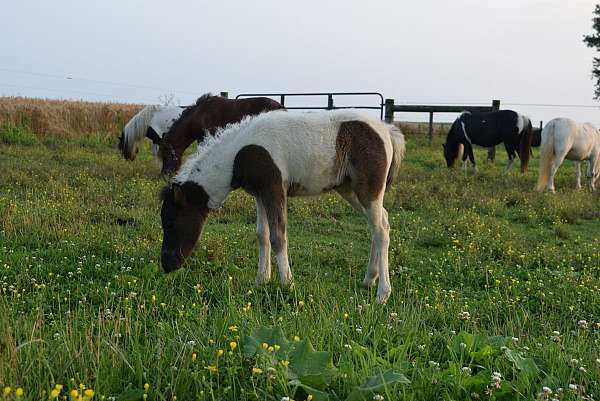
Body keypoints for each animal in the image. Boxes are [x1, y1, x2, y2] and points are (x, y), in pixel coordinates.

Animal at [158, 109, 408, 304]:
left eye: (170, 222)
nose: (167, 265)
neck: (239, 154)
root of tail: (388, 130)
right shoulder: (259, 194)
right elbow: (262, 234)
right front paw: (261, 281)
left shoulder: (274, 189)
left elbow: (279, 236)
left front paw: (287, 283)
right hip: (350, 191)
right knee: (380, 223)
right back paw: (368, 280)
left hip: (368, 191)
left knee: (381, 230)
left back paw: (382, 294)